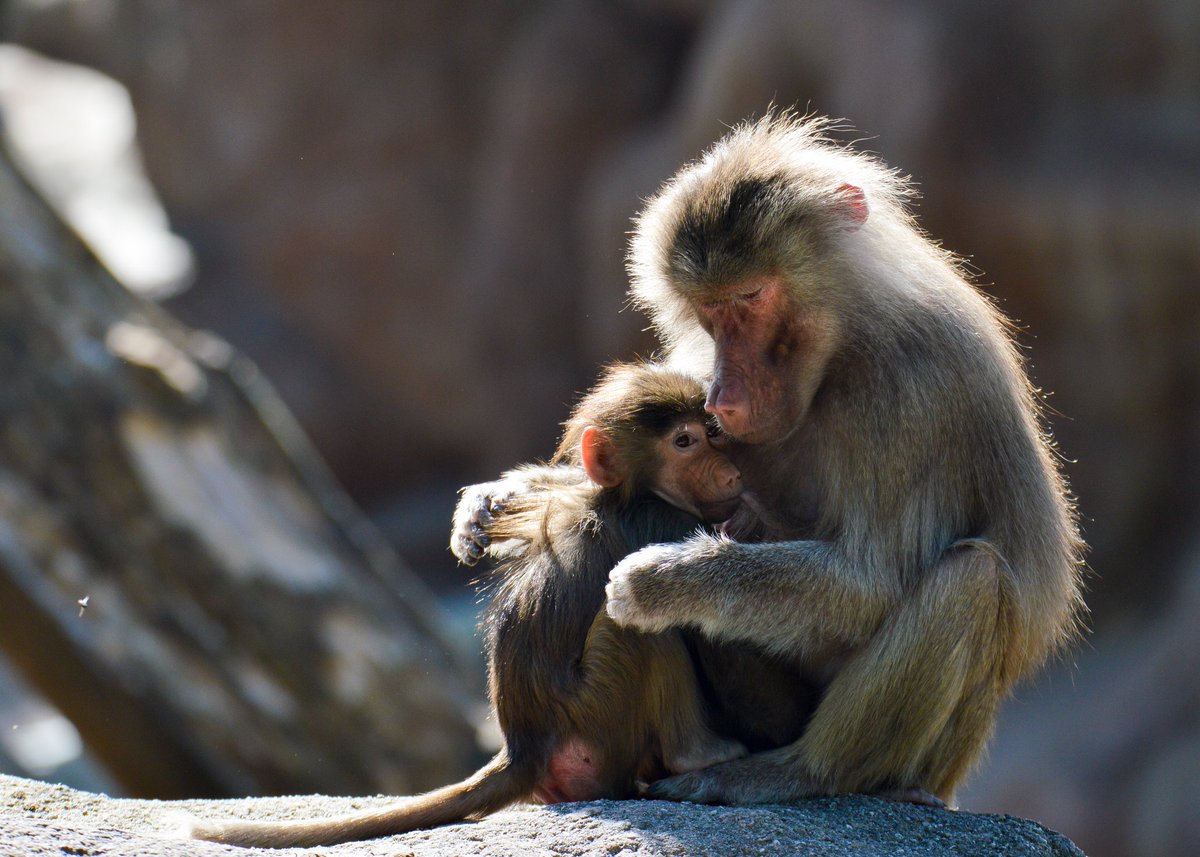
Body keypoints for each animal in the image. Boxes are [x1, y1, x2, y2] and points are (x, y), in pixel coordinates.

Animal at [189, 361, 747, 848]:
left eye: (711, 433)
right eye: (683, 442)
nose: (731, 475)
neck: (625, 495)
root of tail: (524, 746)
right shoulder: (665, 518)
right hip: (602, 715)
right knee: (633, 626)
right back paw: (699, 755)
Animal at [452, 112, 1085, 808]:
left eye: (751, 296)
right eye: (710, 310)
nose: (724, 396)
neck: (844, 348)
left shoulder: (914, 390)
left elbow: (871, 581)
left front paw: (665, 581)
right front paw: (493, 503)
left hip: (931, 763)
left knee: (969, 578)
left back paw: (795, 772)